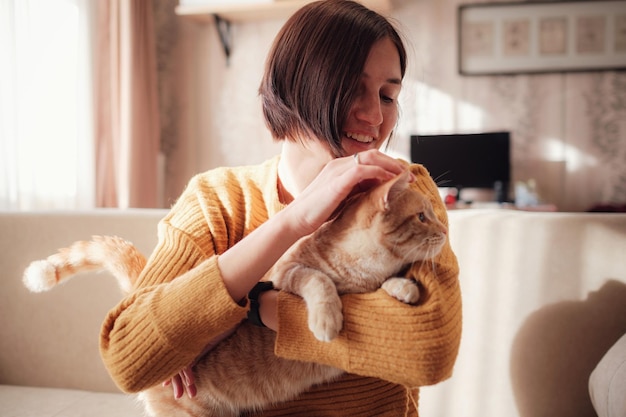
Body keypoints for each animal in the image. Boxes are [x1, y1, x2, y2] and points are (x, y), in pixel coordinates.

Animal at [23, 170, 444, 416]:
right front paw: (327, 319)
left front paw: (403, 286)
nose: (443, 228)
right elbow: (320, 282)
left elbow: (384, 285)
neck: (362, 271)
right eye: (422, 216)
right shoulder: (288, 272)